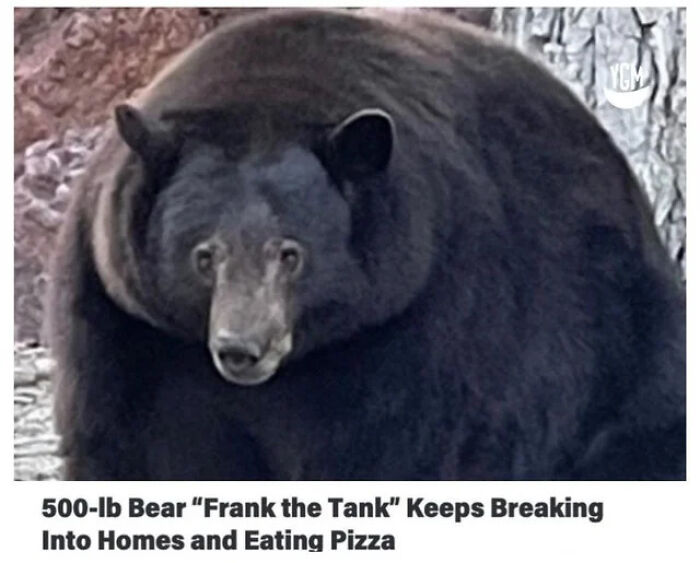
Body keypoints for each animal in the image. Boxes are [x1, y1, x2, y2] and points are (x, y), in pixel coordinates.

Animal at [47, 8, 685, 480]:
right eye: (204, 256)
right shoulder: (128, 325)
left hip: (620, 341)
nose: (241, 349)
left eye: (291, 253)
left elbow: (397, 445)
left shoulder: (428, 311)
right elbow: (132, 443)